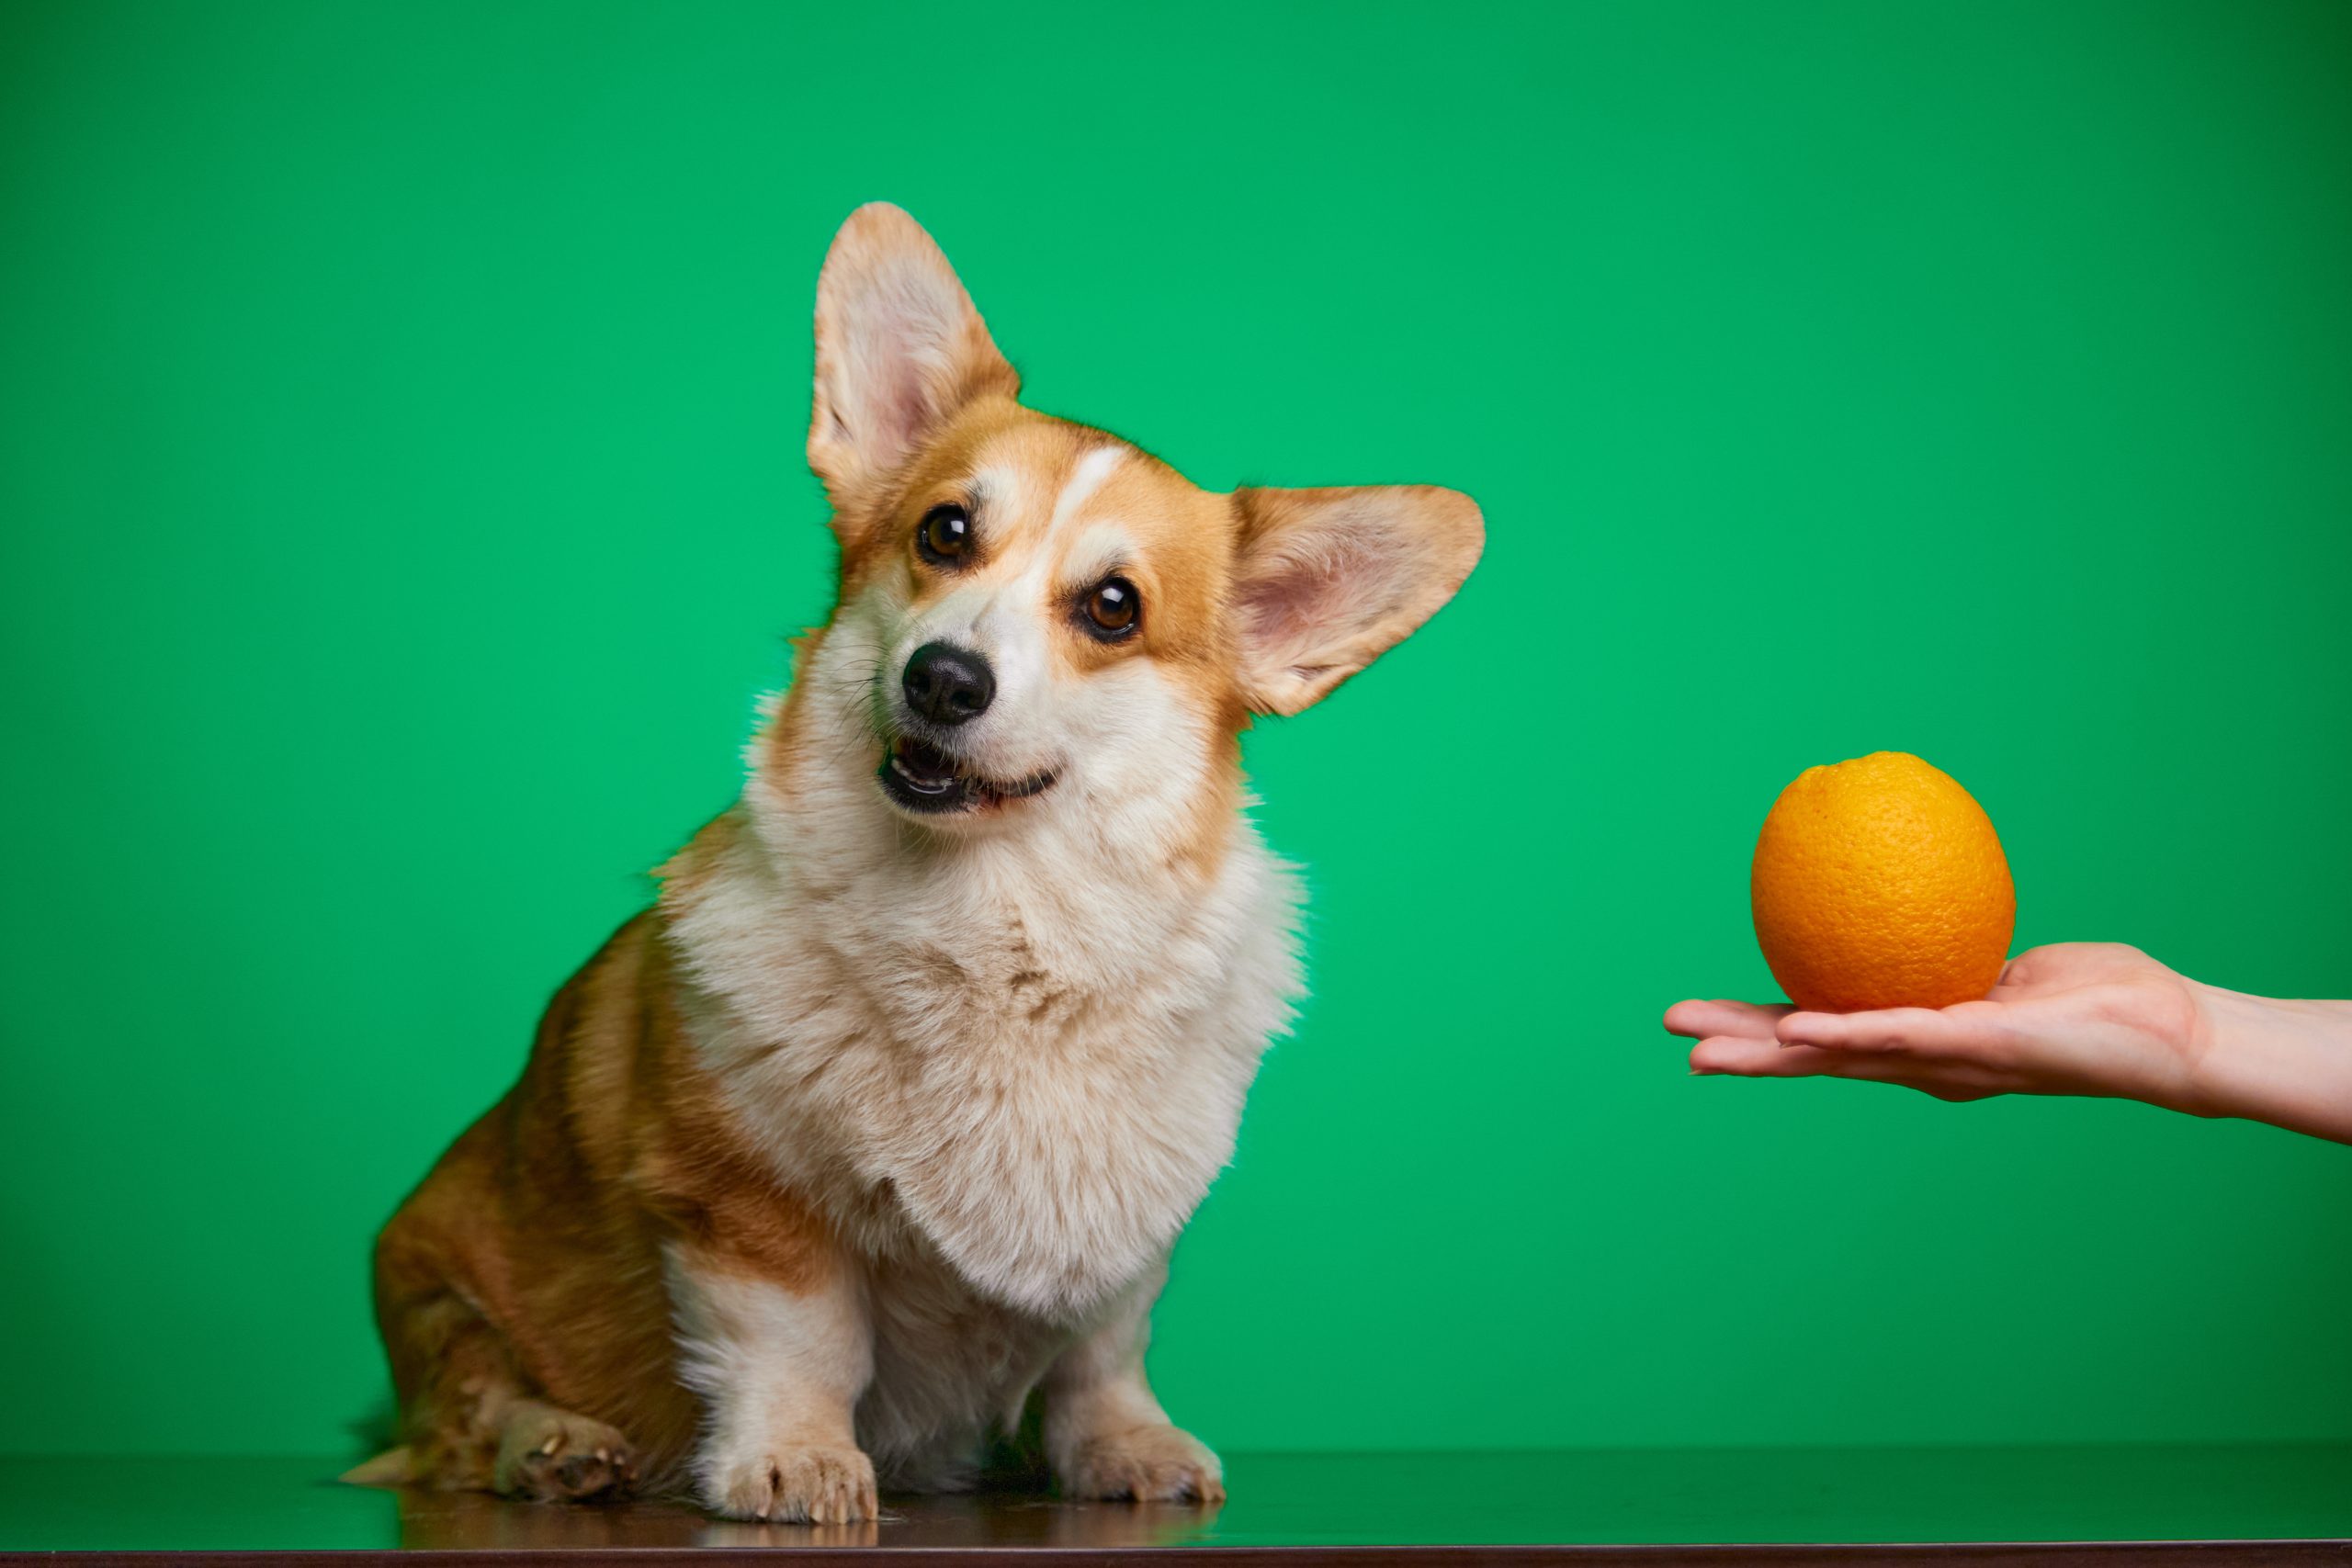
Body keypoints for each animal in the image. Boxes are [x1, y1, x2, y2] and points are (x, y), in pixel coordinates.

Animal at [357, 205, 1476, 1523]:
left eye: (1112, 606)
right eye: (945, 532)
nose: (943, 678)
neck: (995, 929)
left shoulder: (1127, 1234)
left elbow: (1104, 1349)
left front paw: (1124, 1444)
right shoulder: (745, 1201)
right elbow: (801, 1340)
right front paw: (793, 1457)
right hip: (433, 1282)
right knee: (468, 1413)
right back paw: (557, 1443)